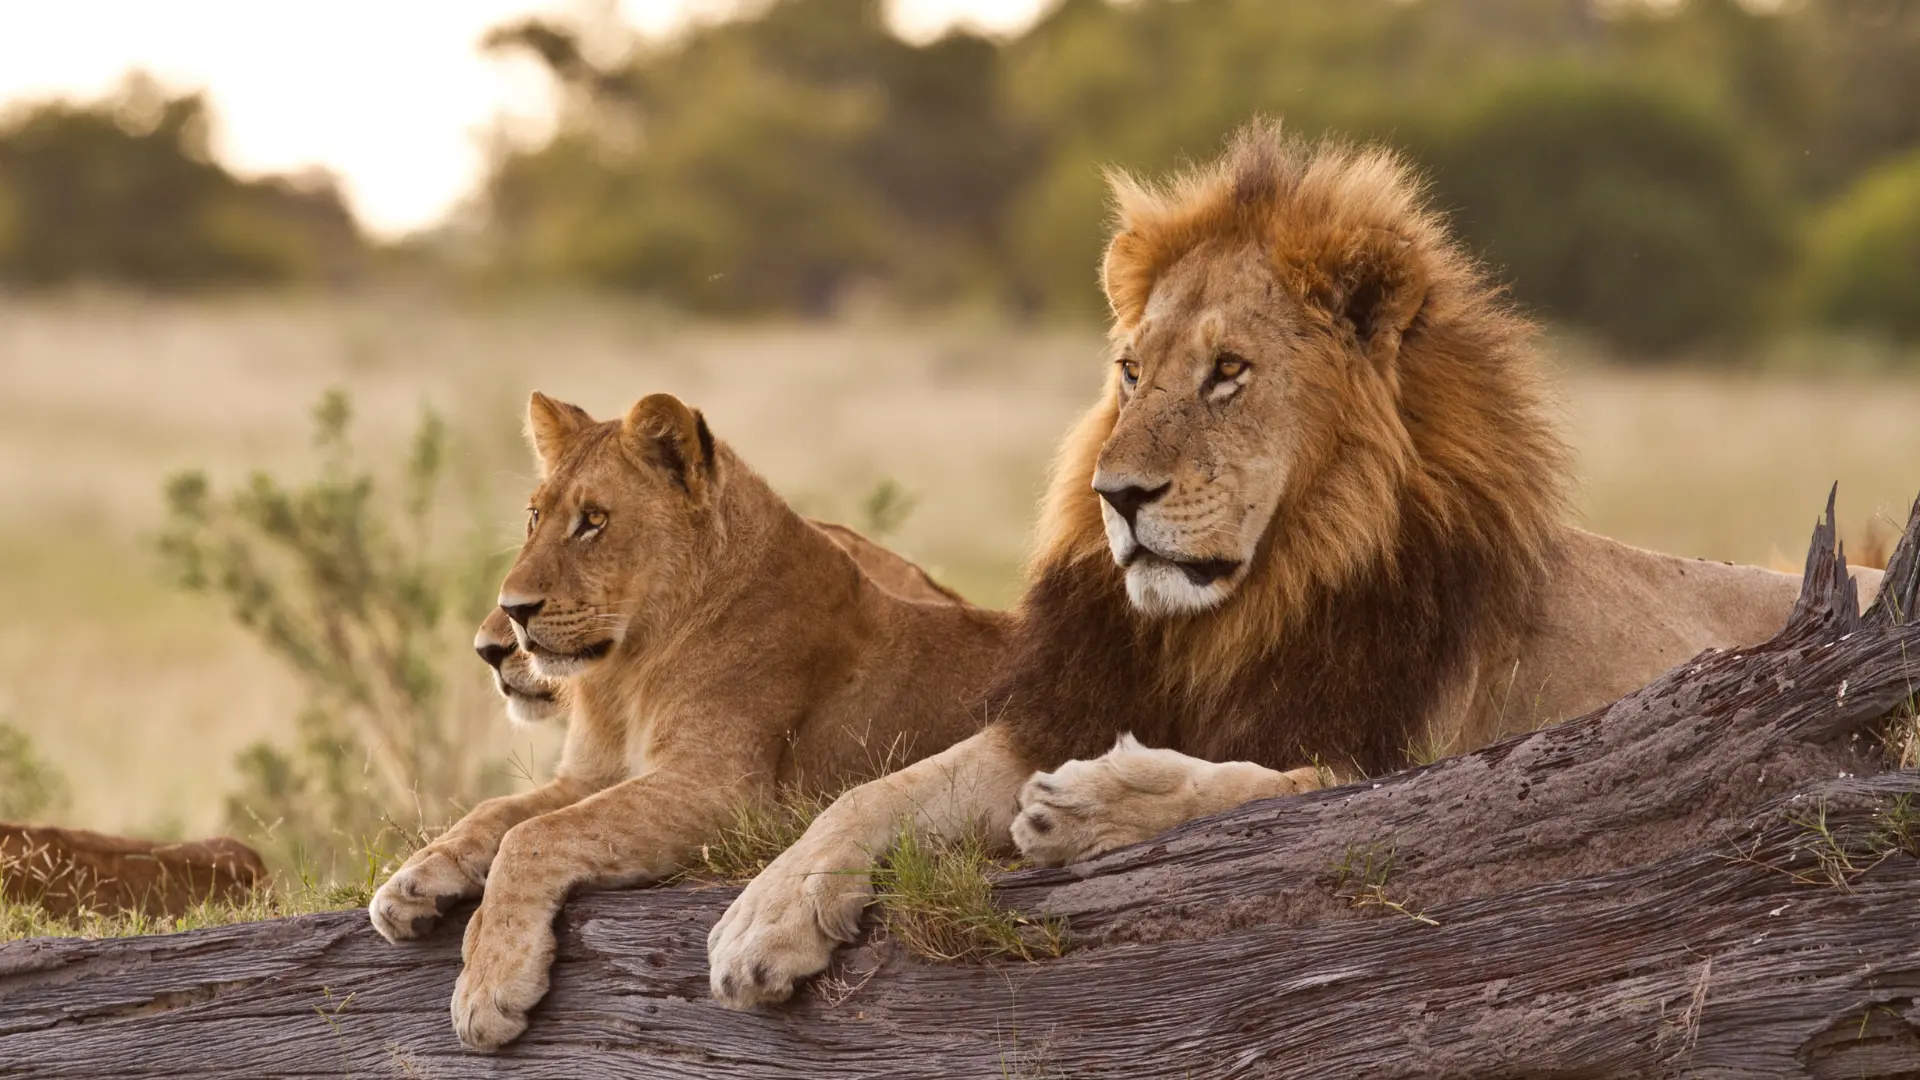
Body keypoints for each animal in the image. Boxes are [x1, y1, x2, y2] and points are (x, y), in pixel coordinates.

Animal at [369, 390, 1011, 1051]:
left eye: (593, 520)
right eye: (534, 517)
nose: (503, 629)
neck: (626, 670)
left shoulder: (726, 795)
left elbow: (534, 837)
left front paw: (487, 983)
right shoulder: (590, 777)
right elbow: (498, 813)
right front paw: (412, 880)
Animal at [706, 122, 1886, 1008]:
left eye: (1229, 373)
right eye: (1130, 373)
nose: (1116, 495)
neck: (1241, 614)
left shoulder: (1410, 761)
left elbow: (1252, 791)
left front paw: (1095, 807)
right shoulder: (1064, 706)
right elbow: (875, 792)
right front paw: (762, 916)